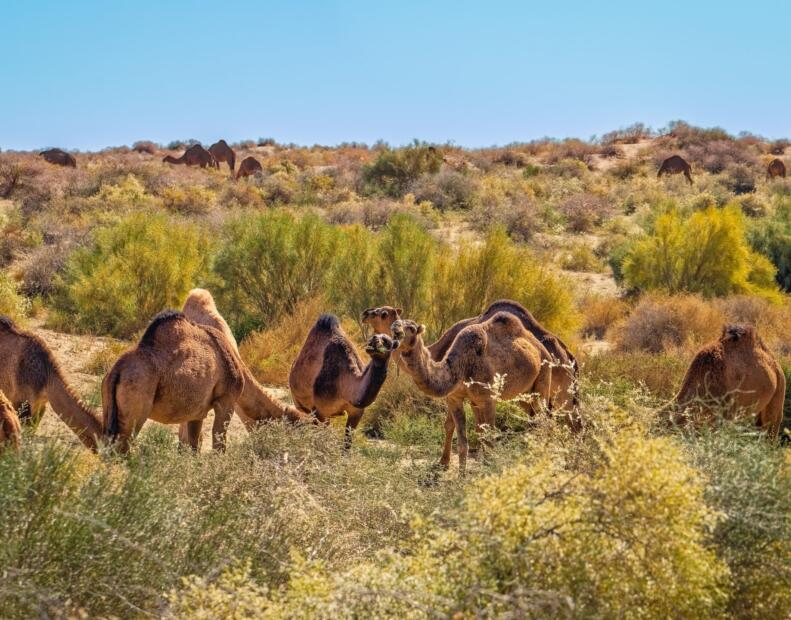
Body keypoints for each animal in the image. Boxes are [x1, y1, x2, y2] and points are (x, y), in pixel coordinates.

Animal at [290, 318, 402, 448]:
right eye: (372, 339)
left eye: (387, 341)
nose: (373, 340)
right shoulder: (322, 411)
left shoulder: (357, 412)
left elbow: (347, 442)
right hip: (303, 406)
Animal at [392, 314, 552, 474]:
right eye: (394, 326)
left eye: (411, 328)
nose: (396, 330)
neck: (461, 366)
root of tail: (542, 348)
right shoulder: (455, 398)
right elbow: (462, 441)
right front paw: (461, 475)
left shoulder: (488, 400)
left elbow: (489, 437)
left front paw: (489, 469)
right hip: (522, 395)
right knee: (531, 417)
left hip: (543, 380)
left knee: (542, 417)